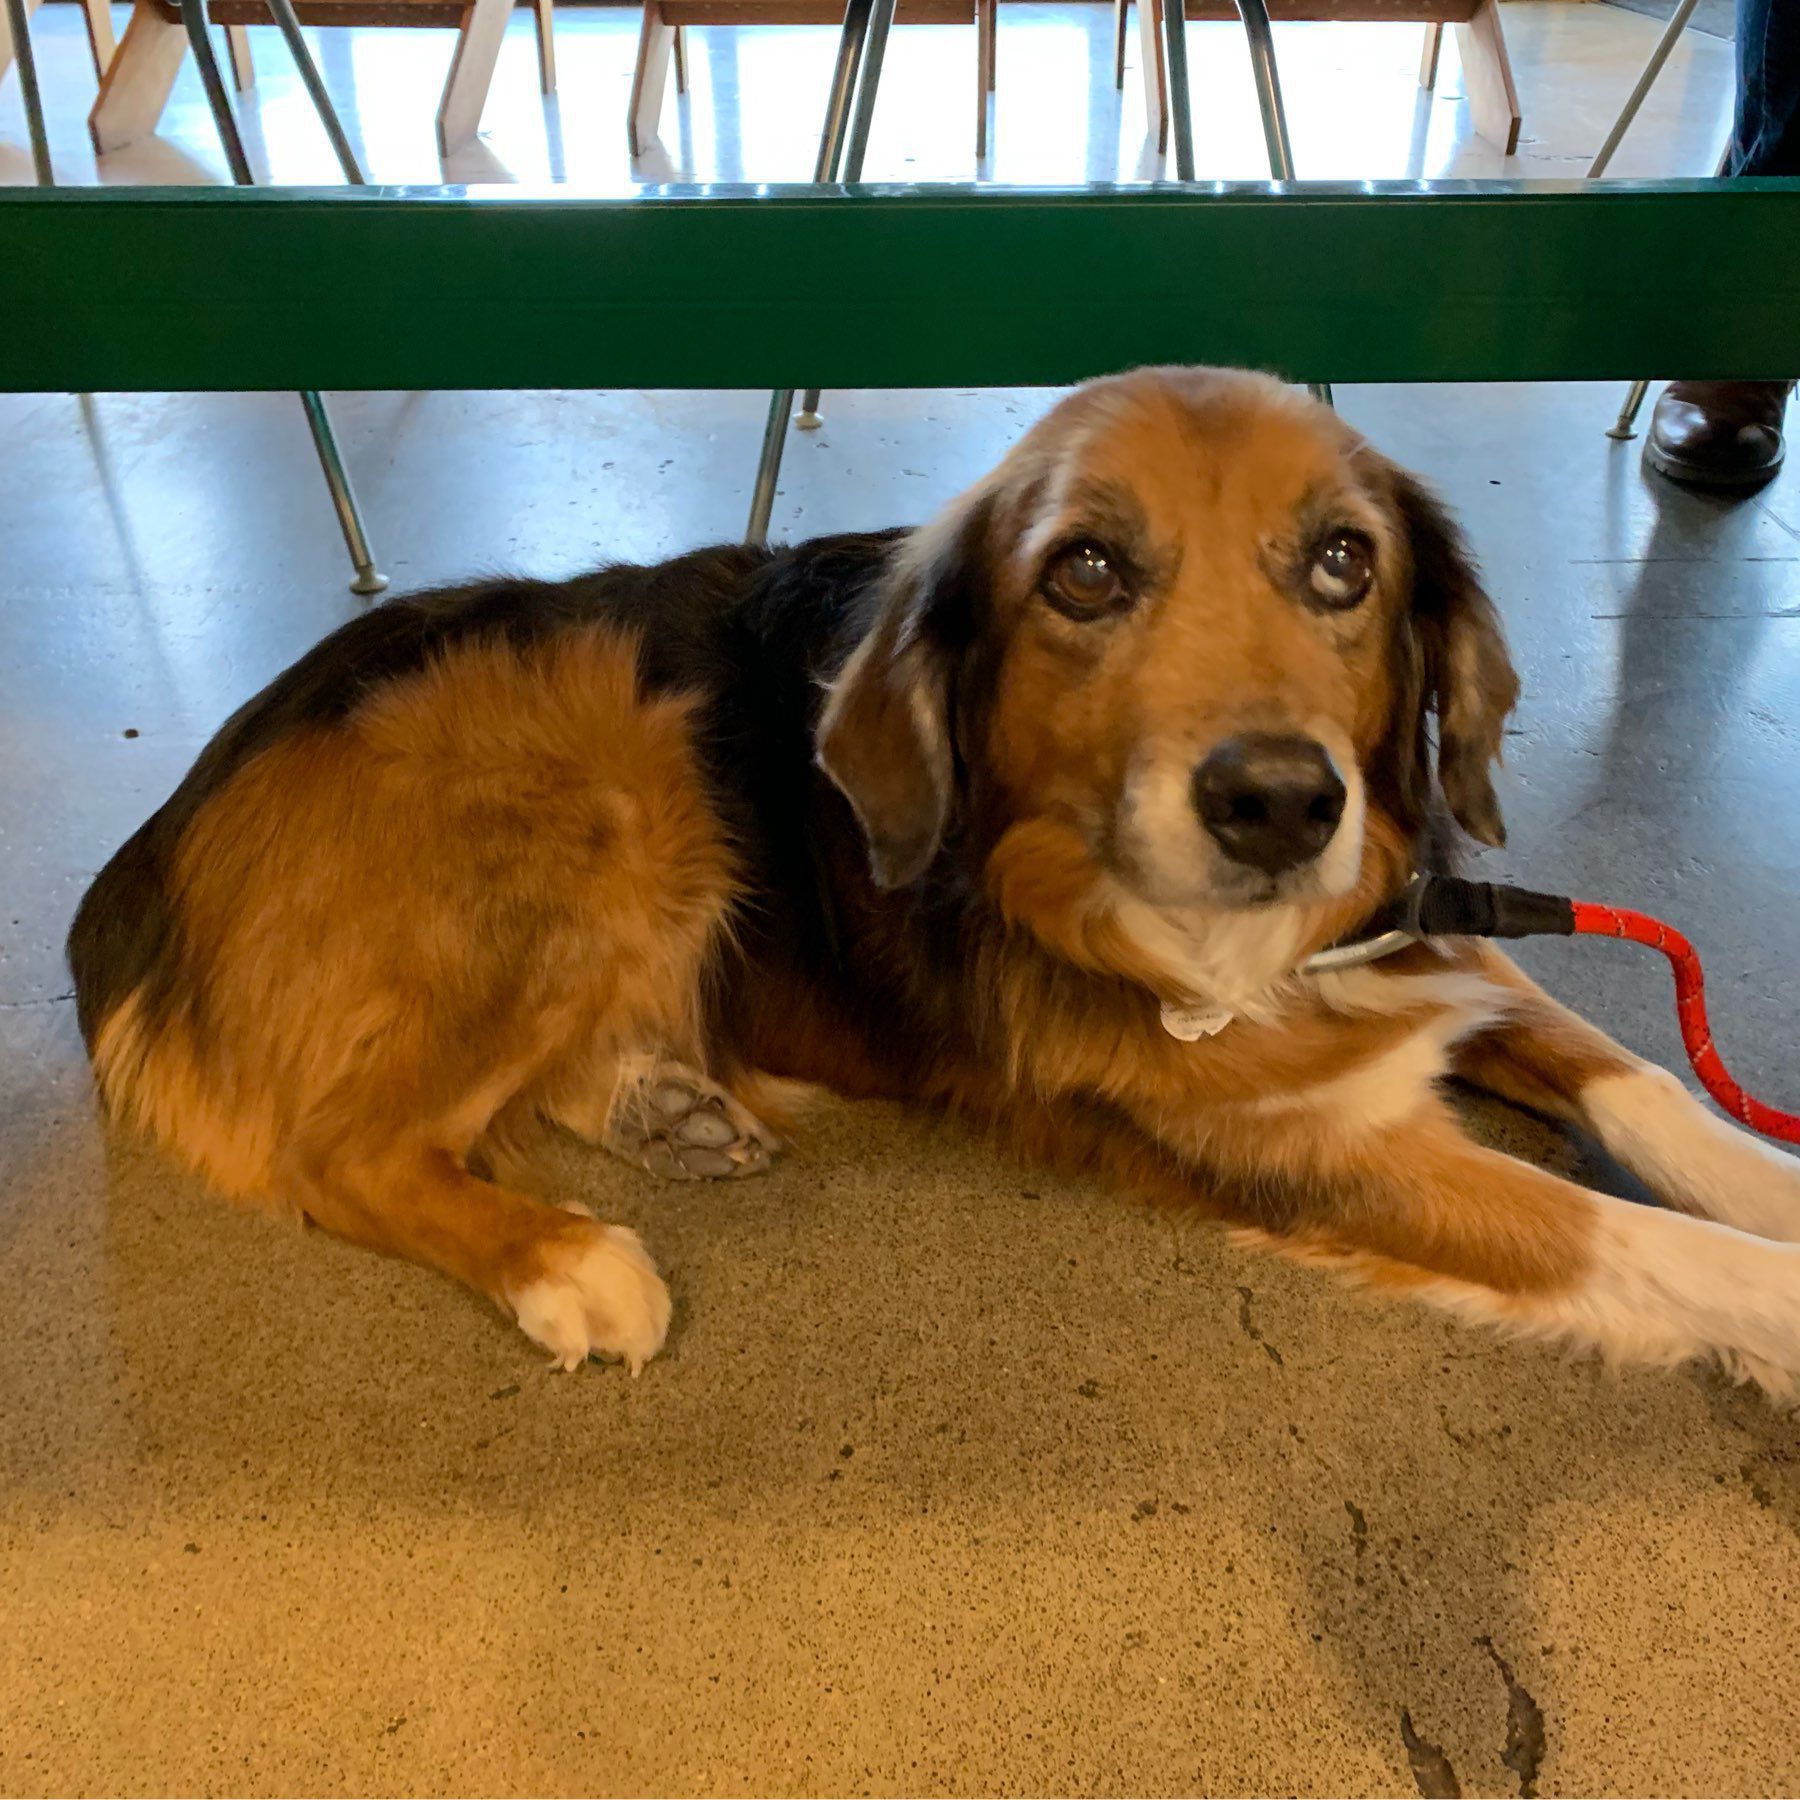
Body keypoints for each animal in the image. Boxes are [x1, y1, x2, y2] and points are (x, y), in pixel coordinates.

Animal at [63, 358, 1800, 1382]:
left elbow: (1641, 1078)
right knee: (344, 1150)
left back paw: (666, 1103)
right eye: (1084, 572)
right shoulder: (1311, 1150)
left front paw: (1766, 1176)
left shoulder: (1430, 934)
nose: (1281, 806)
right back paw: (565, 1261)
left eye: (1342, 562)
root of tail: (153, 847)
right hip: (620, 769)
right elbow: (1664, 1248)